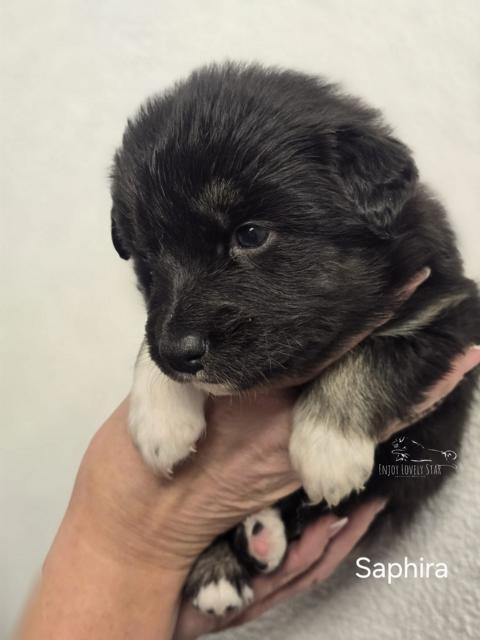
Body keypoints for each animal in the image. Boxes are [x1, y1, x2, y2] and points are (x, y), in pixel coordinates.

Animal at [109, 62, 479, 616]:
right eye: (146, 257)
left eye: (251, 233)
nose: (181, 355)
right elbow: (148, 342)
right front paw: (160, 421)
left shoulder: (448, 307)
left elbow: (375, 352)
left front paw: (328, 447)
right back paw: (220, 568)